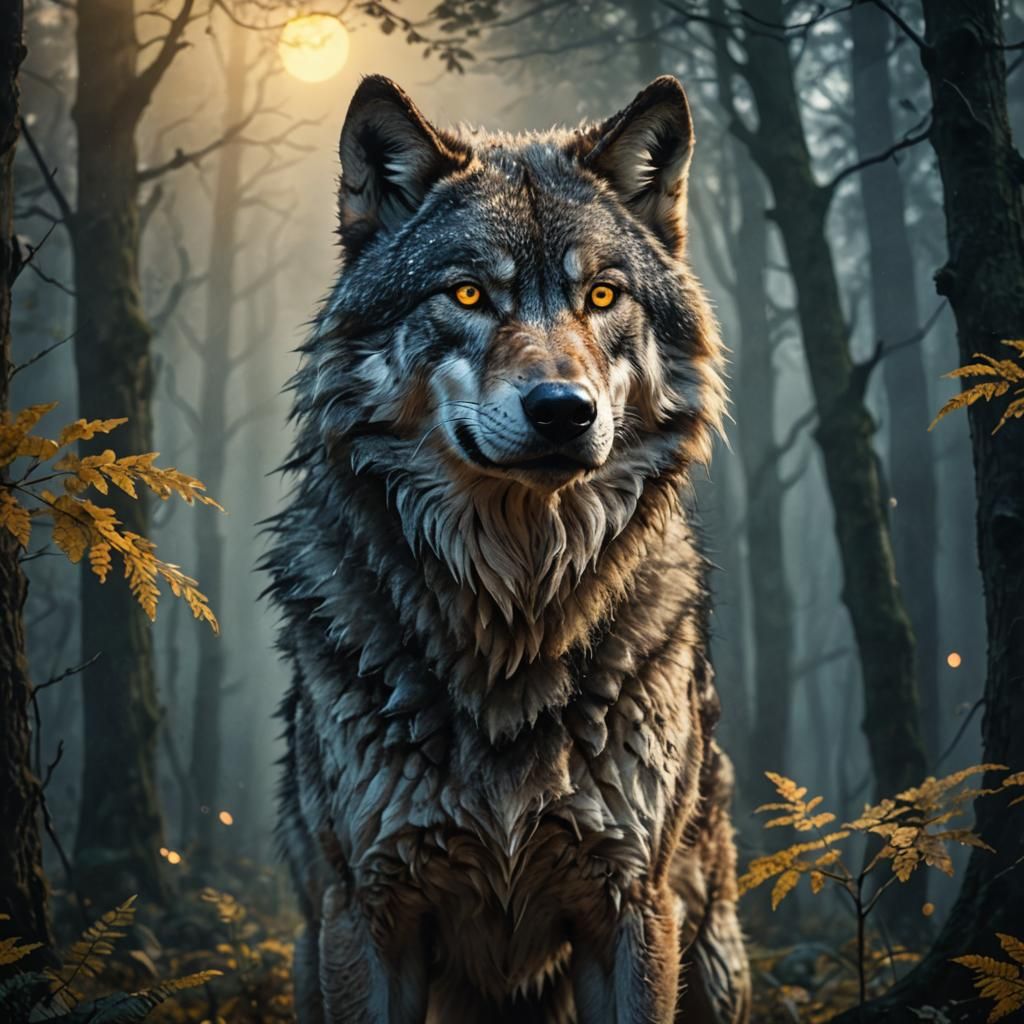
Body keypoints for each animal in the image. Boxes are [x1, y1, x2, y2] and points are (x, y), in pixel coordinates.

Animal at [264, 74, 750, 1023]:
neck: (515, 617)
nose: (563, 410)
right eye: (466, 297)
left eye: (601, 297)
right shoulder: (365, 913)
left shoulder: (631, 905)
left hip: (710, 956)